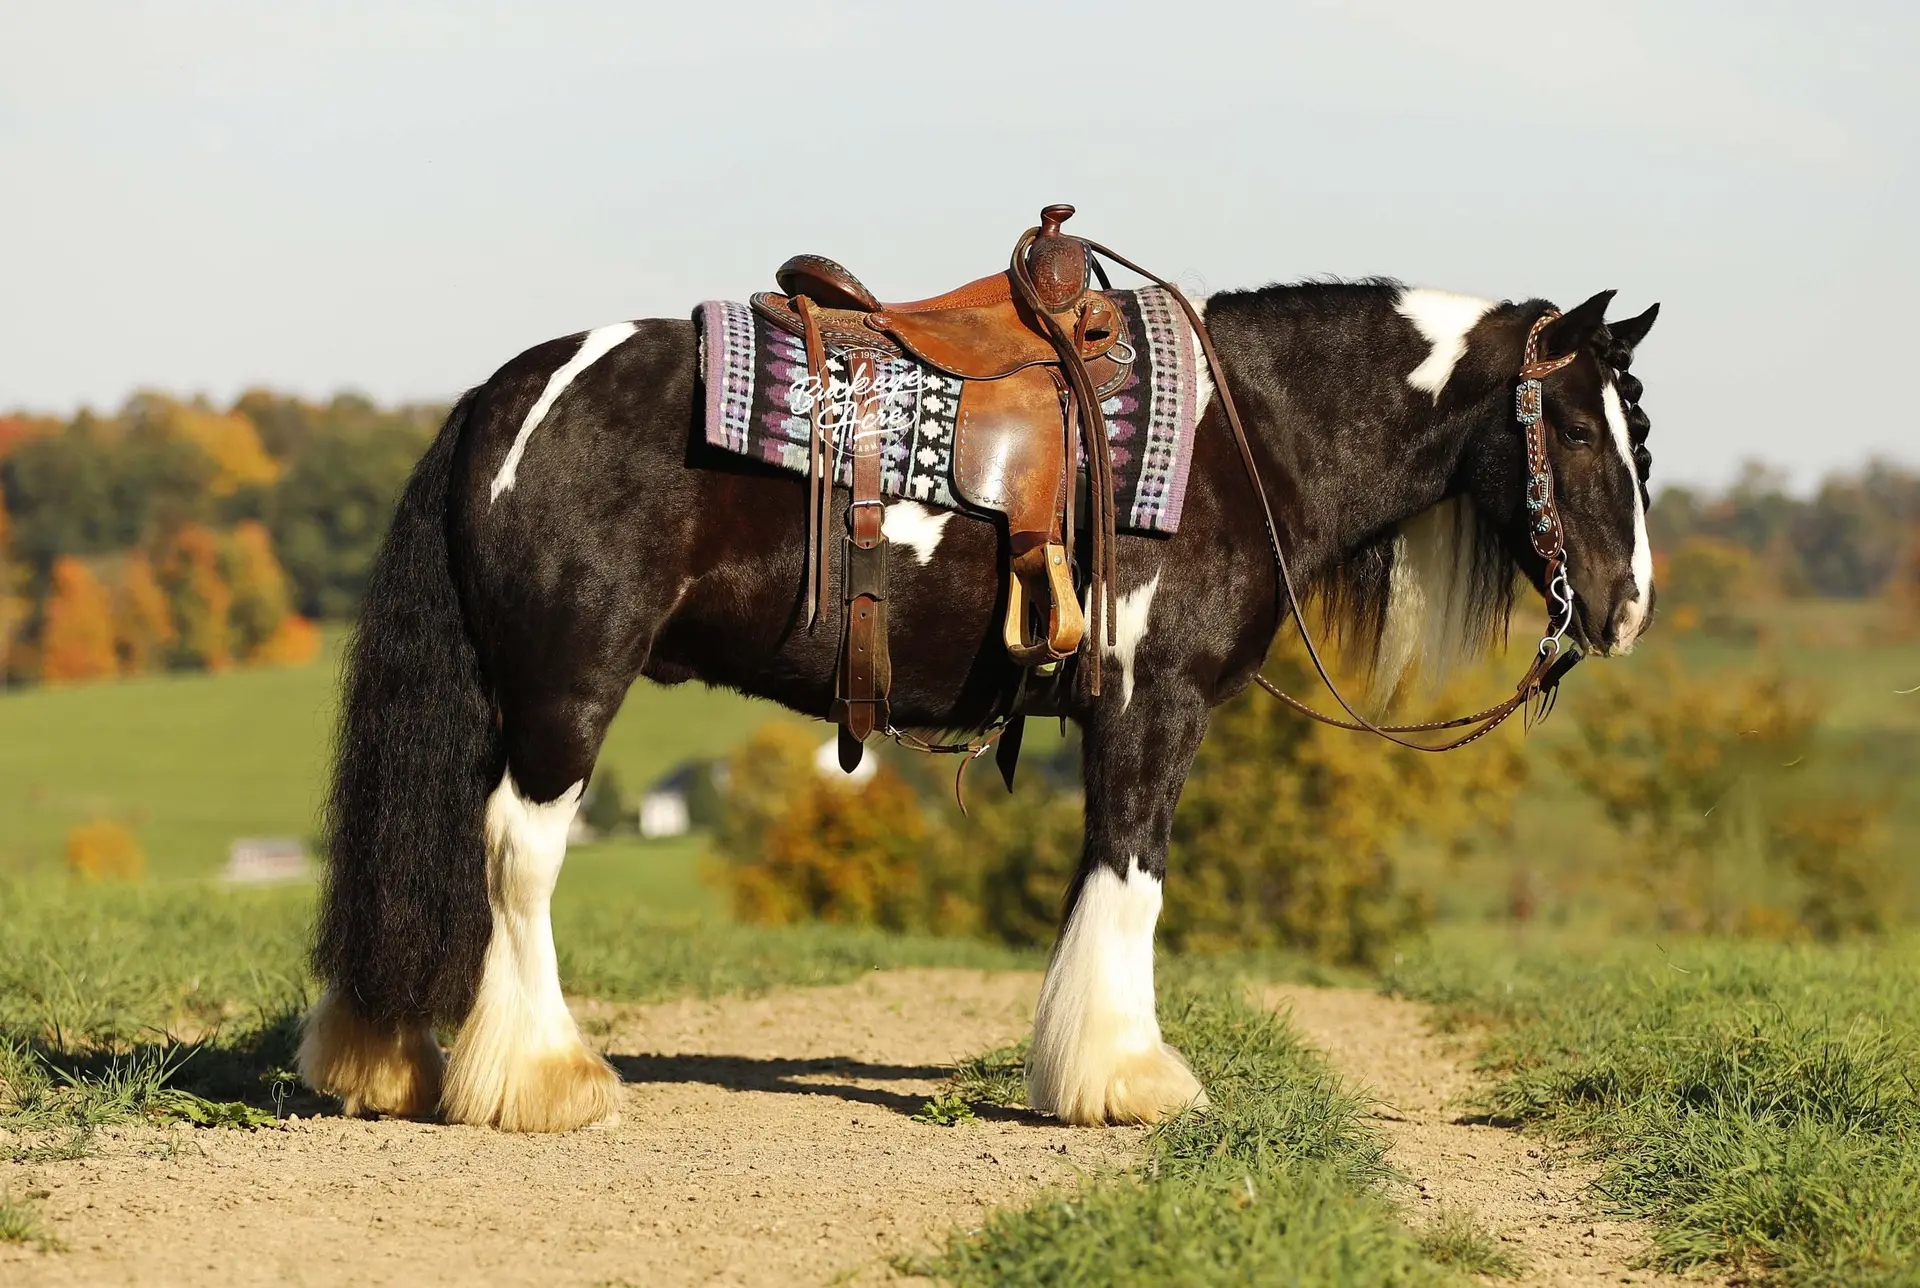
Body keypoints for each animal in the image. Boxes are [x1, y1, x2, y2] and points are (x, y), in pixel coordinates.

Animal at [295, 266, 1658, 1132]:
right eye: (1585, 433)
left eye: (1639, 433)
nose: (1630, 605)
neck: (1244, 439)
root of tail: (509, 395)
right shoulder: (1152, 709)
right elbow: (1132, 874)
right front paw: (1125, 1079)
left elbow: (1097, 879)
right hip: (569, 689)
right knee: (513, 854)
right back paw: (543, 1078)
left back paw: (390, 1060)